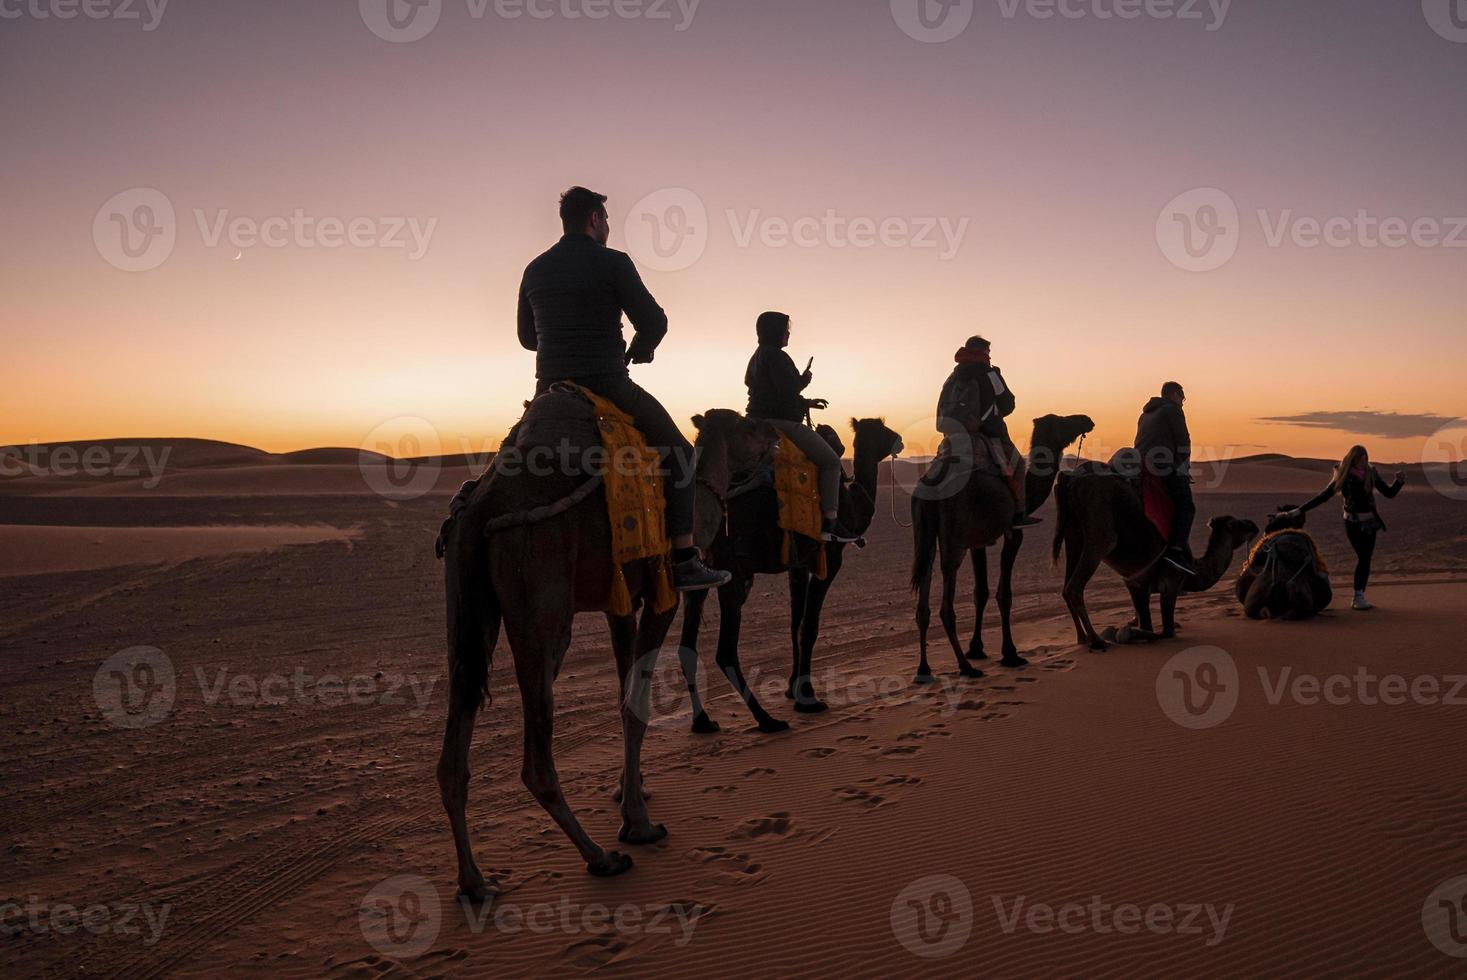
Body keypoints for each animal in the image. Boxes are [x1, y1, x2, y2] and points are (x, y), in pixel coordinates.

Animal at [434, 393, 780, 903]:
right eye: (749, 425)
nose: (775, 432)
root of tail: (481, 509)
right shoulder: (662, 595)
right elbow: (636, 706)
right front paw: (638, 823)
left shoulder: (621, 604)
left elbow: (624, 695)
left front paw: (629, 790)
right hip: (542, 609)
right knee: (535, 757)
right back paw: (599, 857)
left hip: (466, 608)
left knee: (455, 740)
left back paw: (474, 881)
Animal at [677, 416, 903, 730]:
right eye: (882, 428)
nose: (899, 439)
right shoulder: (830, 558)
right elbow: (809, 626)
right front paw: (807, 697)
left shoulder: (798, 564)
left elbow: (795, 622)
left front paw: (791, 687)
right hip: (735, 572)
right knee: (725, 651)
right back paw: (766, 720)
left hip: (702, 575)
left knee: (687, 646)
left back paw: (703, 721)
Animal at [909, 413, 1097, 680]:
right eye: (1063, 421)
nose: (1087, 420)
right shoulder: (1012, 532)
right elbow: (1004, 594)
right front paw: (1010, 654)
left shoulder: (977, 542)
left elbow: (981, 592)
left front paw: (976, 648)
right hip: (953, 536)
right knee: (946, 596)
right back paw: (965, 667)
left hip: (924, 533)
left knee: (924, 584)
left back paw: (924, 669)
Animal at [1044, 466, 1261, 651]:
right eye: (1237, 525)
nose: (1254, 525)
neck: (1194, 569)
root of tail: (1070, 479)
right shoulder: (1171, 584)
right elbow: (1165, 632)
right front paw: (1123, 632)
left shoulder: (1137, 586)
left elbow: (1146, 623)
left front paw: (1125, 629)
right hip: (1099, 536)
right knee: (1074, 587)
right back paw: (1096, 640)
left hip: (1073, 535)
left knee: (1066, 586)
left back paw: (1081, 638)